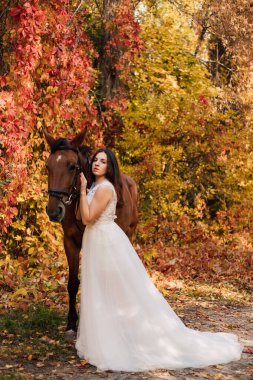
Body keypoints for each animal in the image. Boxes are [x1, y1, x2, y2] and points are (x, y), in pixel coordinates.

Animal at [44, 130, 137, 332]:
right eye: (48, 166)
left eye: (72, 167)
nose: (53, 211)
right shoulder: (70, 242)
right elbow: (72, 283)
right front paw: (72, 322)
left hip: (129, 235)